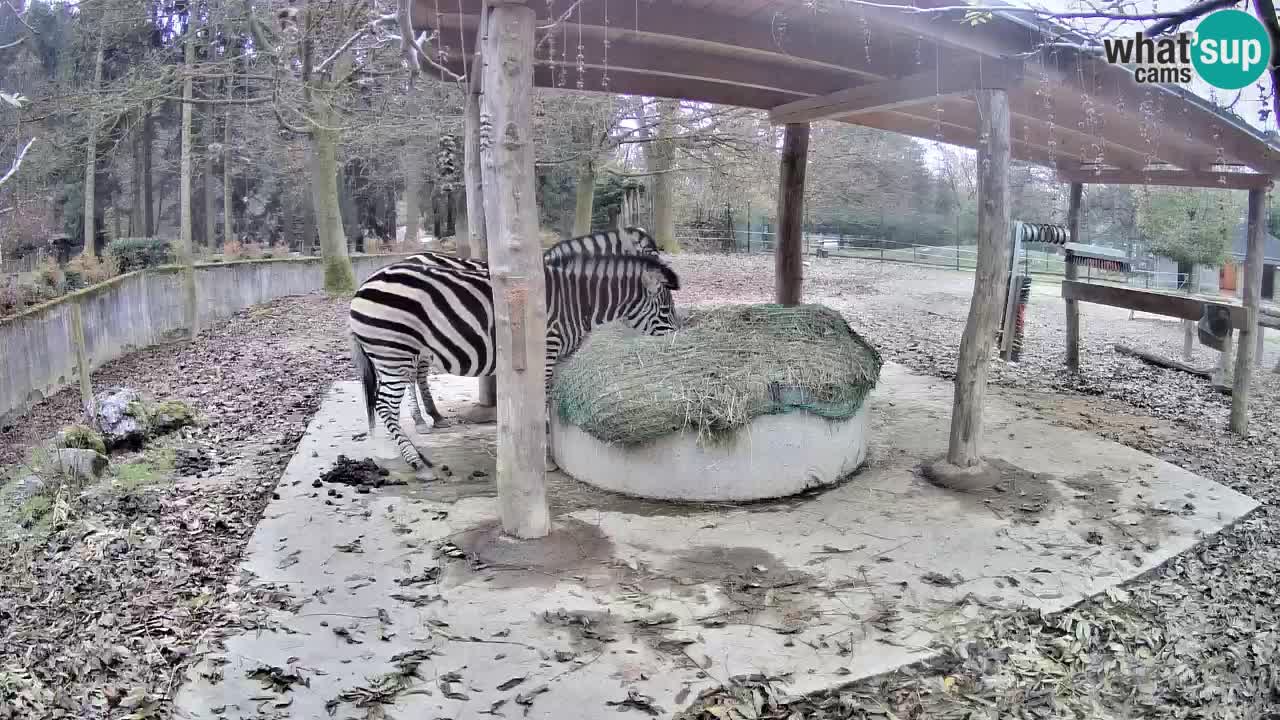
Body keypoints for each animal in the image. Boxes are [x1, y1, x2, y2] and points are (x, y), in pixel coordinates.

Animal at [340, 249, 680, 468]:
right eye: (665, 310)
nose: (677, 338)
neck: (574, 303)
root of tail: (363, 285)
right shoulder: (546, 349)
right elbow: (542, 399)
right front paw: (544, 452)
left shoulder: (557, 355)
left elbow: (553, 400)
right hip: (394, 352)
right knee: (385, 404)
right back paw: (415, 458)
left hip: (397, 353)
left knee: (390, 397)